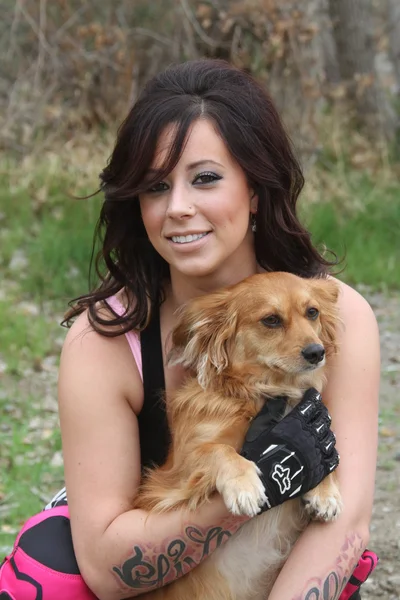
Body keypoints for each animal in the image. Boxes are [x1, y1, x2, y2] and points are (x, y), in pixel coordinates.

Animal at [133, 272, 342, 600]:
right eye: (271, 320)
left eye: (313, 312)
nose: (316, 352)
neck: (265, 393)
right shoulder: (176, 474)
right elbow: (220, 451)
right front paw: (244, 484)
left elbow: (324, 455)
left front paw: (326, 490)